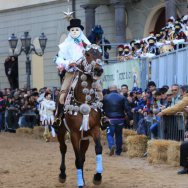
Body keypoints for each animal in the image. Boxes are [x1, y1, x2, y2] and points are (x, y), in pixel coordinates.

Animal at [55, 43, 104, 187]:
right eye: (87, 54)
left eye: (101, 54)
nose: (98, 70)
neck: (84, 101)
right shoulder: (74, 134)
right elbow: (76, 159)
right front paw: (80, 183)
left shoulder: (94, 129)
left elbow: (98, 149)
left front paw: (97, 176)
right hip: (60, 131)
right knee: (63, 148)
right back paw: (62, 175)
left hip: (85, 138)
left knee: (82, 157)